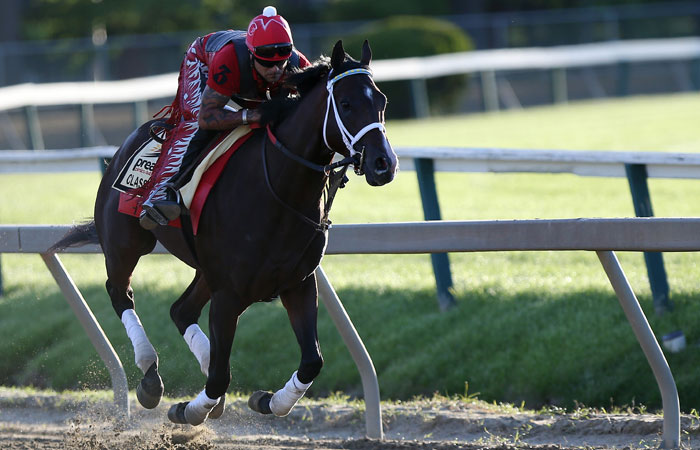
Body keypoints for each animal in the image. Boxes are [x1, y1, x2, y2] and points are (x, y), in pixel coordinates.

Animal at [52, 39, 396, 426]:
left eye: (381, 101)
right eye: (347, 104)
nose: (383, 163)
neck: (279, 190)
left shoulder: (297, 283)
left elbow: (312, 361)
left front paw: (267, 401)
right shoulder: (229, 293)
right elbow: (220, 375)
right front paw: (189, 409)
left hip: (206, 269)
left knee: (181, 310)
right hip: (126, 241)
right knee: (120, 292)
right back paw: (150, 375)